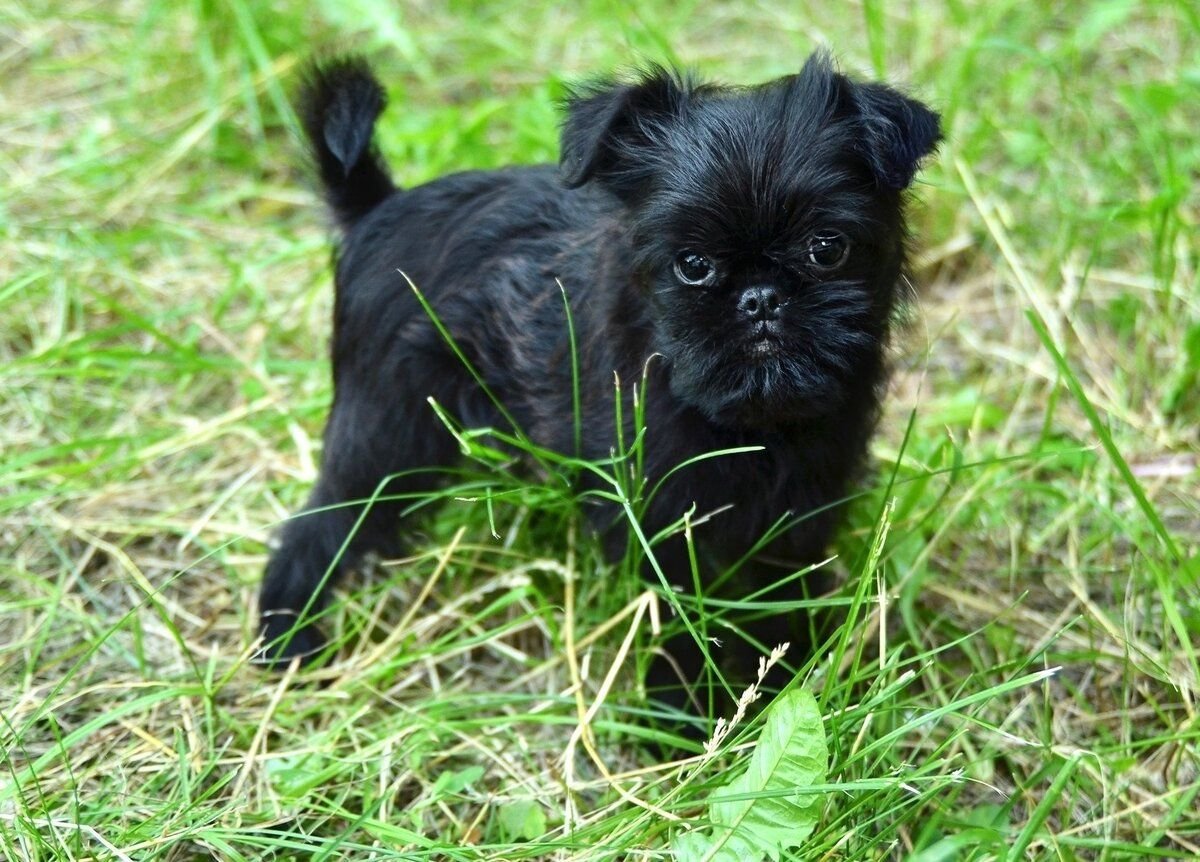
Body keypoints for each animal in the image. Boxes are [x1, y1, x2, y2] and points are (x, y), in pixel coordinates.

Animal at [258, 50, 940, 710]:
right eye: (692, 265)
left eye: (828, 249)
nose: (761, 298)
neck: (753, 422)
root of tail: (378, 207)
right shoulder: (658, 524)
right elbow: (678, 620)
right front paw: (678, 711)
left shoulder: (804, 509)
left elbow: (783, 599)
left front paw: (789, 682)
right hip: (385, 432)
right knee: (317, 529)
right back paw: (286, 638)